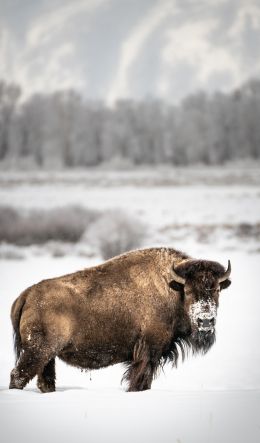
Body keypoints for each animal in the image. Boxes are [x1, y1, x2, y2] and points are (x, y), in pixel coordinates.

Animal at [8, 248, 232, 394]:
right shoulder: (148, 351)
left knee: (44, 381)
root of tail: (27, 294)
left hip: (48, 357)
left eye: (217, 290)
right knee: (18, 375)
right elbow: (140, 380)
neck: (172, 288)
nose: (205, 321)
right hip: (38, 352)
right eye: (189, 290)